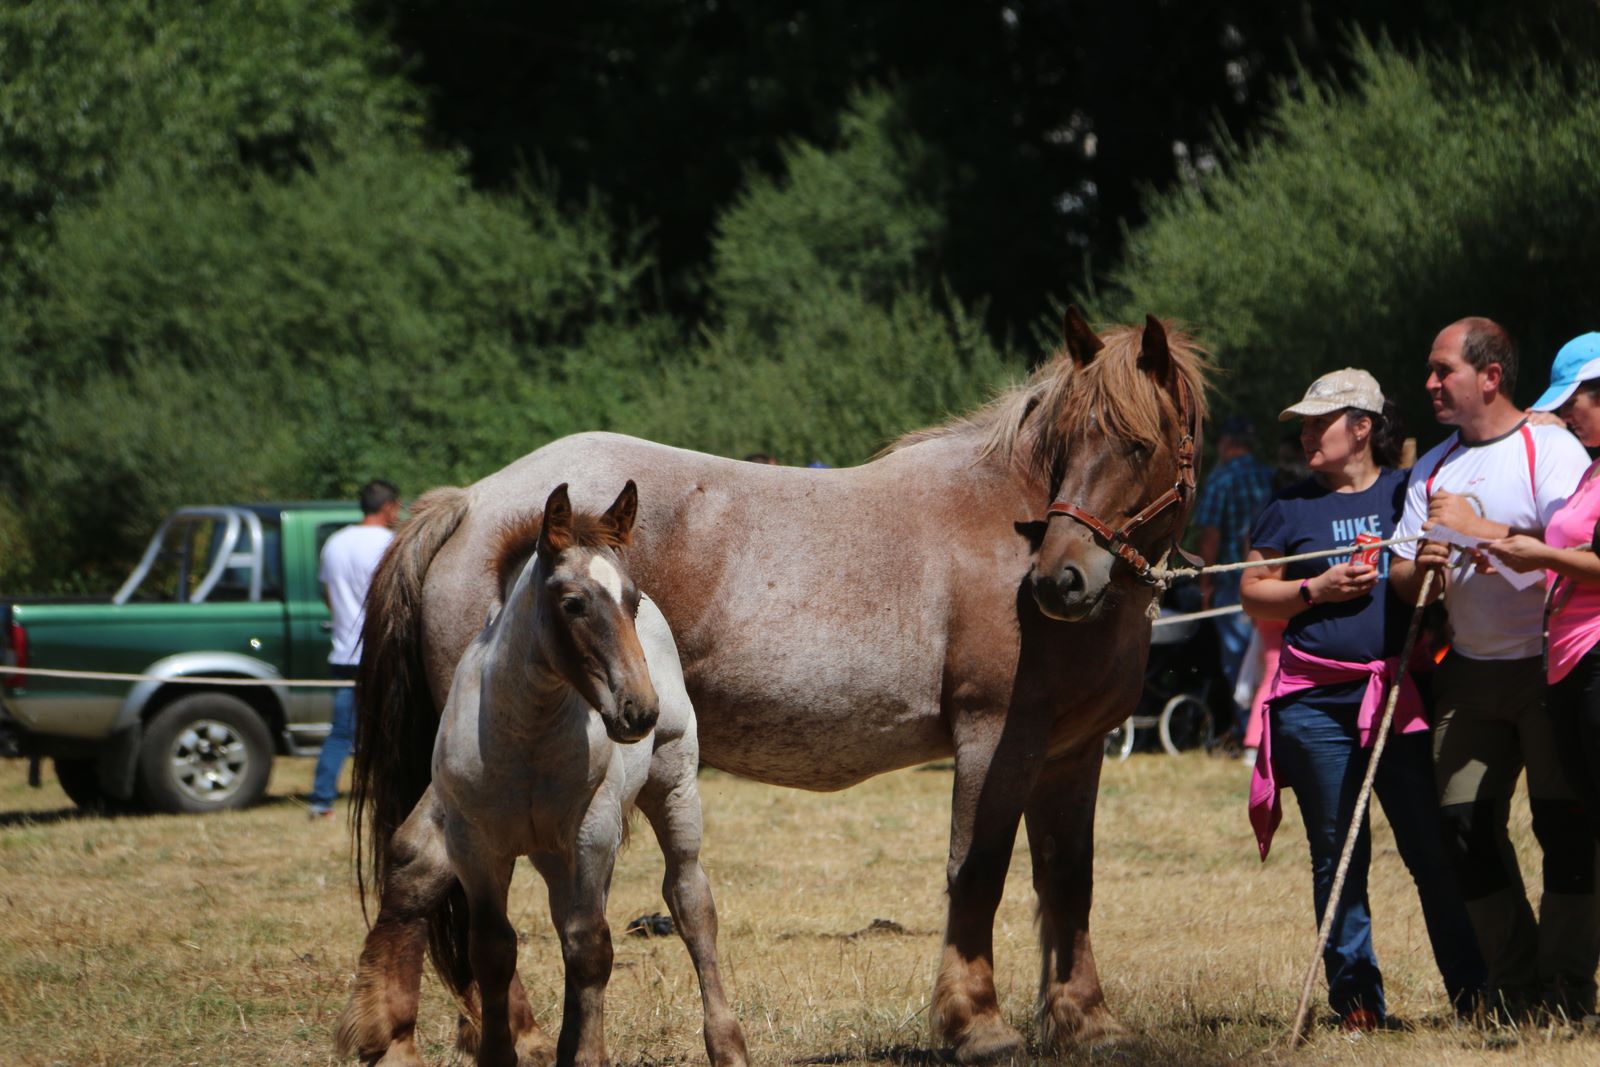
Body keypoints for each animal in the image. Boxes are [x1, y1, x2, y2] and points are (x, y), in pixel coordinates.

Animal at [334, 486, 745, 1067]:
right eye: (572, 603)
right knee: (565, 917)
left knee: (689, 903)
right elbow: (493, 949)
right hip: (552, 854)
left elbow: (592, 946)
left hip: (671, 792)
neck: (527, 736)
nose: (638, 711)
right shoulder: (475, 843)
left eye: (633, 600)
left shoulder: (593, 830)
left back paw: (727, 1044)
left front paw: (588, 1056)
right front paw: (500, 1052)